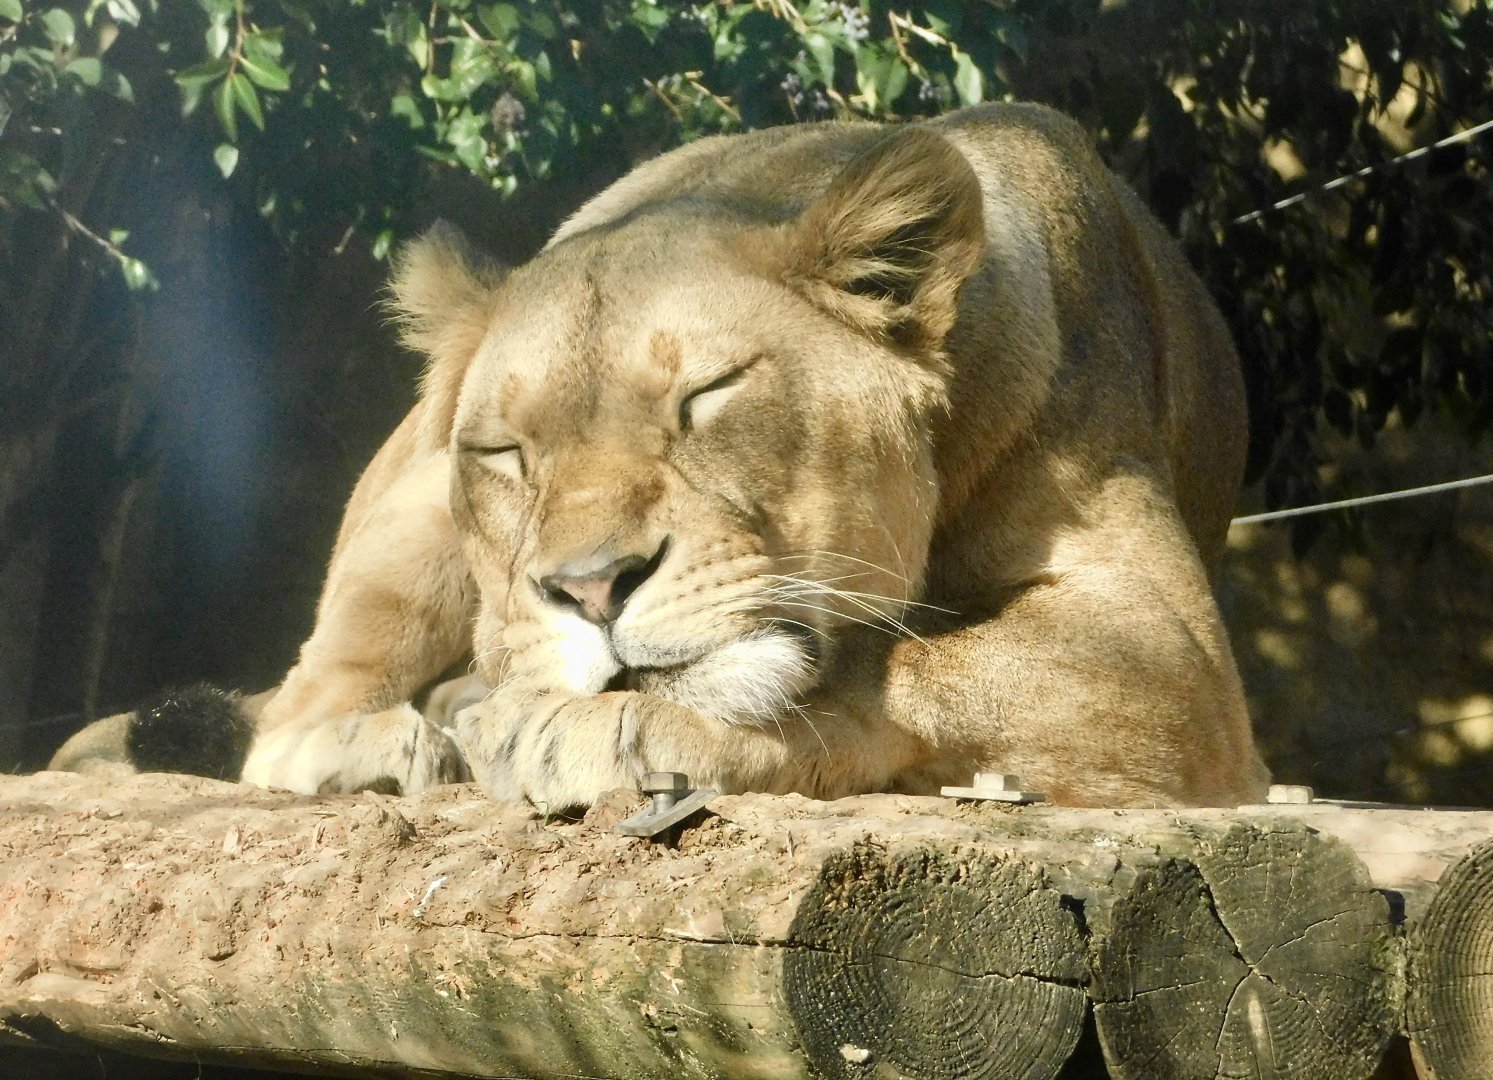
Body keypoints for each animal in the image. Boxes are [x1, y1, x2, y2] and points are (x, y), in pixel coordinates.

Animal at [50, 103, 1270, 808]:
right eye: (505, 451)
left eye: (706, 396)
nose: (592, 590)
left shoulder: (1168, 653)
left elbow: (906, 664)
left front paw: (606, 727)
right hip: (404, 527)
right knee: (291, 714)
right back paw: (390, 743)